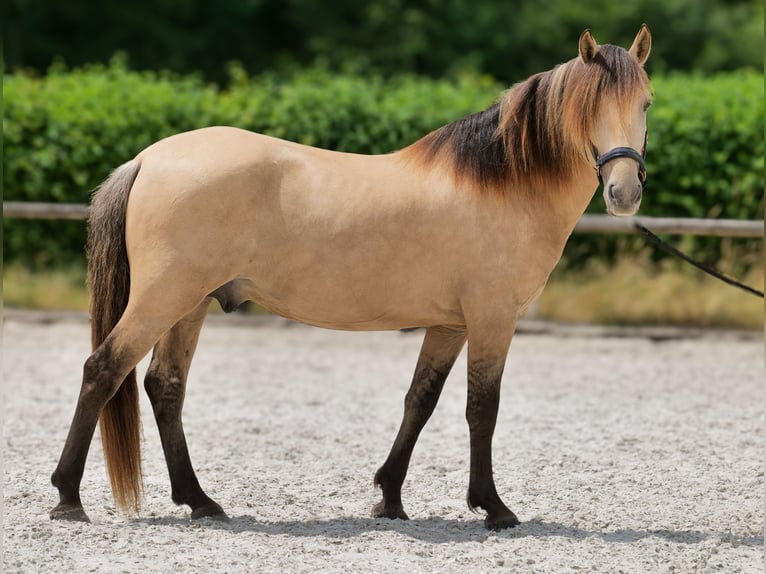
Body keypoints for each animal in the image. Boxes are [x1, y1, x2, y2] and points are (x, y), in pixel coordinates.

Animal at [50, 26, 652, 530]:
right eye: (591, 106)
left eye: (645, 103)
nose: (624, 194)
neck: (501, 182)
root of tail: (148, 159)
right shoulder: (492, 320)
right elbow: (482, 407)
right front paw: (494, 508)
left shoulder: (451, 325)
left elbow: (420, 400)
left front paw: (390, 498)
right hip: (163, 298)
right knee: (102, 370)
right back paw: (68, 498)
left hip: (189, 303)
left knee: (164, 387)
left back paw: (200, 502)